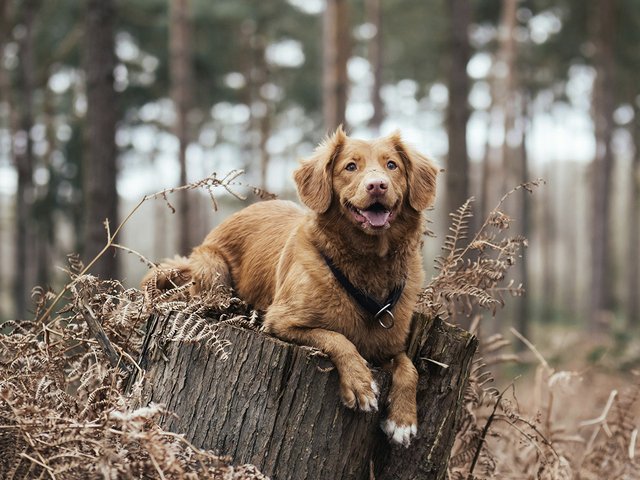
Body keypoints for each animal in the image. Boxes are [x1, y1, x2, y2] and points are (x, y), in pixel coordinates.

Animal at [142, 127, 438, 446]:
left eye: (392, 165)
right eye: (350, 166)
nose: (377, 186)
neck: (368, 264)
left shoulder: (388, 345)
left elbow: (409, 367)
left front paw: (403, 420)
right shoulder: (282, 322)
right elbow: (337, 338)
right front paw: (360, 382)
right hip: (212, 270)